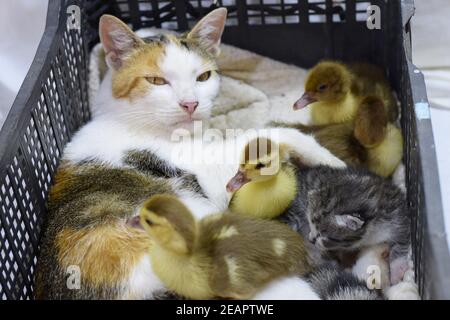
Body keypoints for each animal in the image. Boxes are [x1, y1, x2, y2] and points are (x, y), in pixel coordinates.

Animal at [36, 10, 344, 300]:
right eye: (156, 80)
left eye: (203, 77)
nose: (190, 104)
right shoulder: (213, 169)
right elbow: (267, 135)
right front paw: (330, 159)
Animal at [282, 165, 412, 284]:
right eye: (311, 225)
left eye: (325, 236)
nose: (311, 240)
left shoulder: (398, 215)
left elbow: (401, 242)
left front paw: (396, 271)